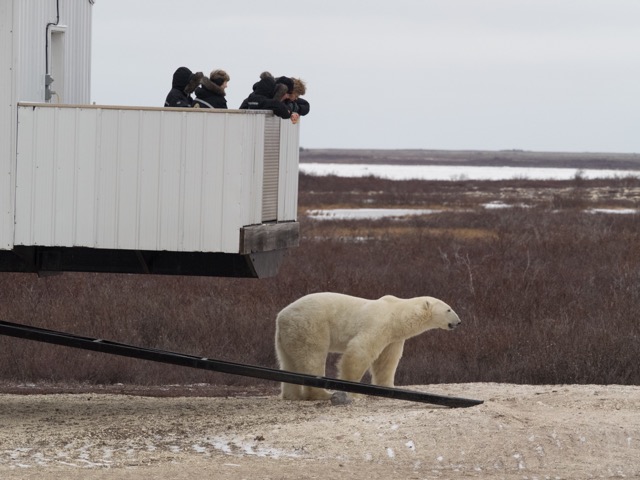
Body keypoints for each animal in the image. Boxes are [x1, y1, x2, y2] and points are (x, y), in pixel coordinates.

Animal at [274, 292, 462, 401]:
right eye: (449, 309)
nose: (459, 322)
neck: (397, 314)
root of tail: (281, 317)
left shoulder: (393, 337)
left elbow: (386, 361)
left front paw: (388, 387)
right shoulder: (378, 324)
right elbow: (360, 351)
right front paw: (352, 390)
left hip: (289, 335)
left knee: (288, 361)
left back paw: (292, 395)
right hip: (310, 325)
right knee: (313, 357)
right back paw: (322, 394)